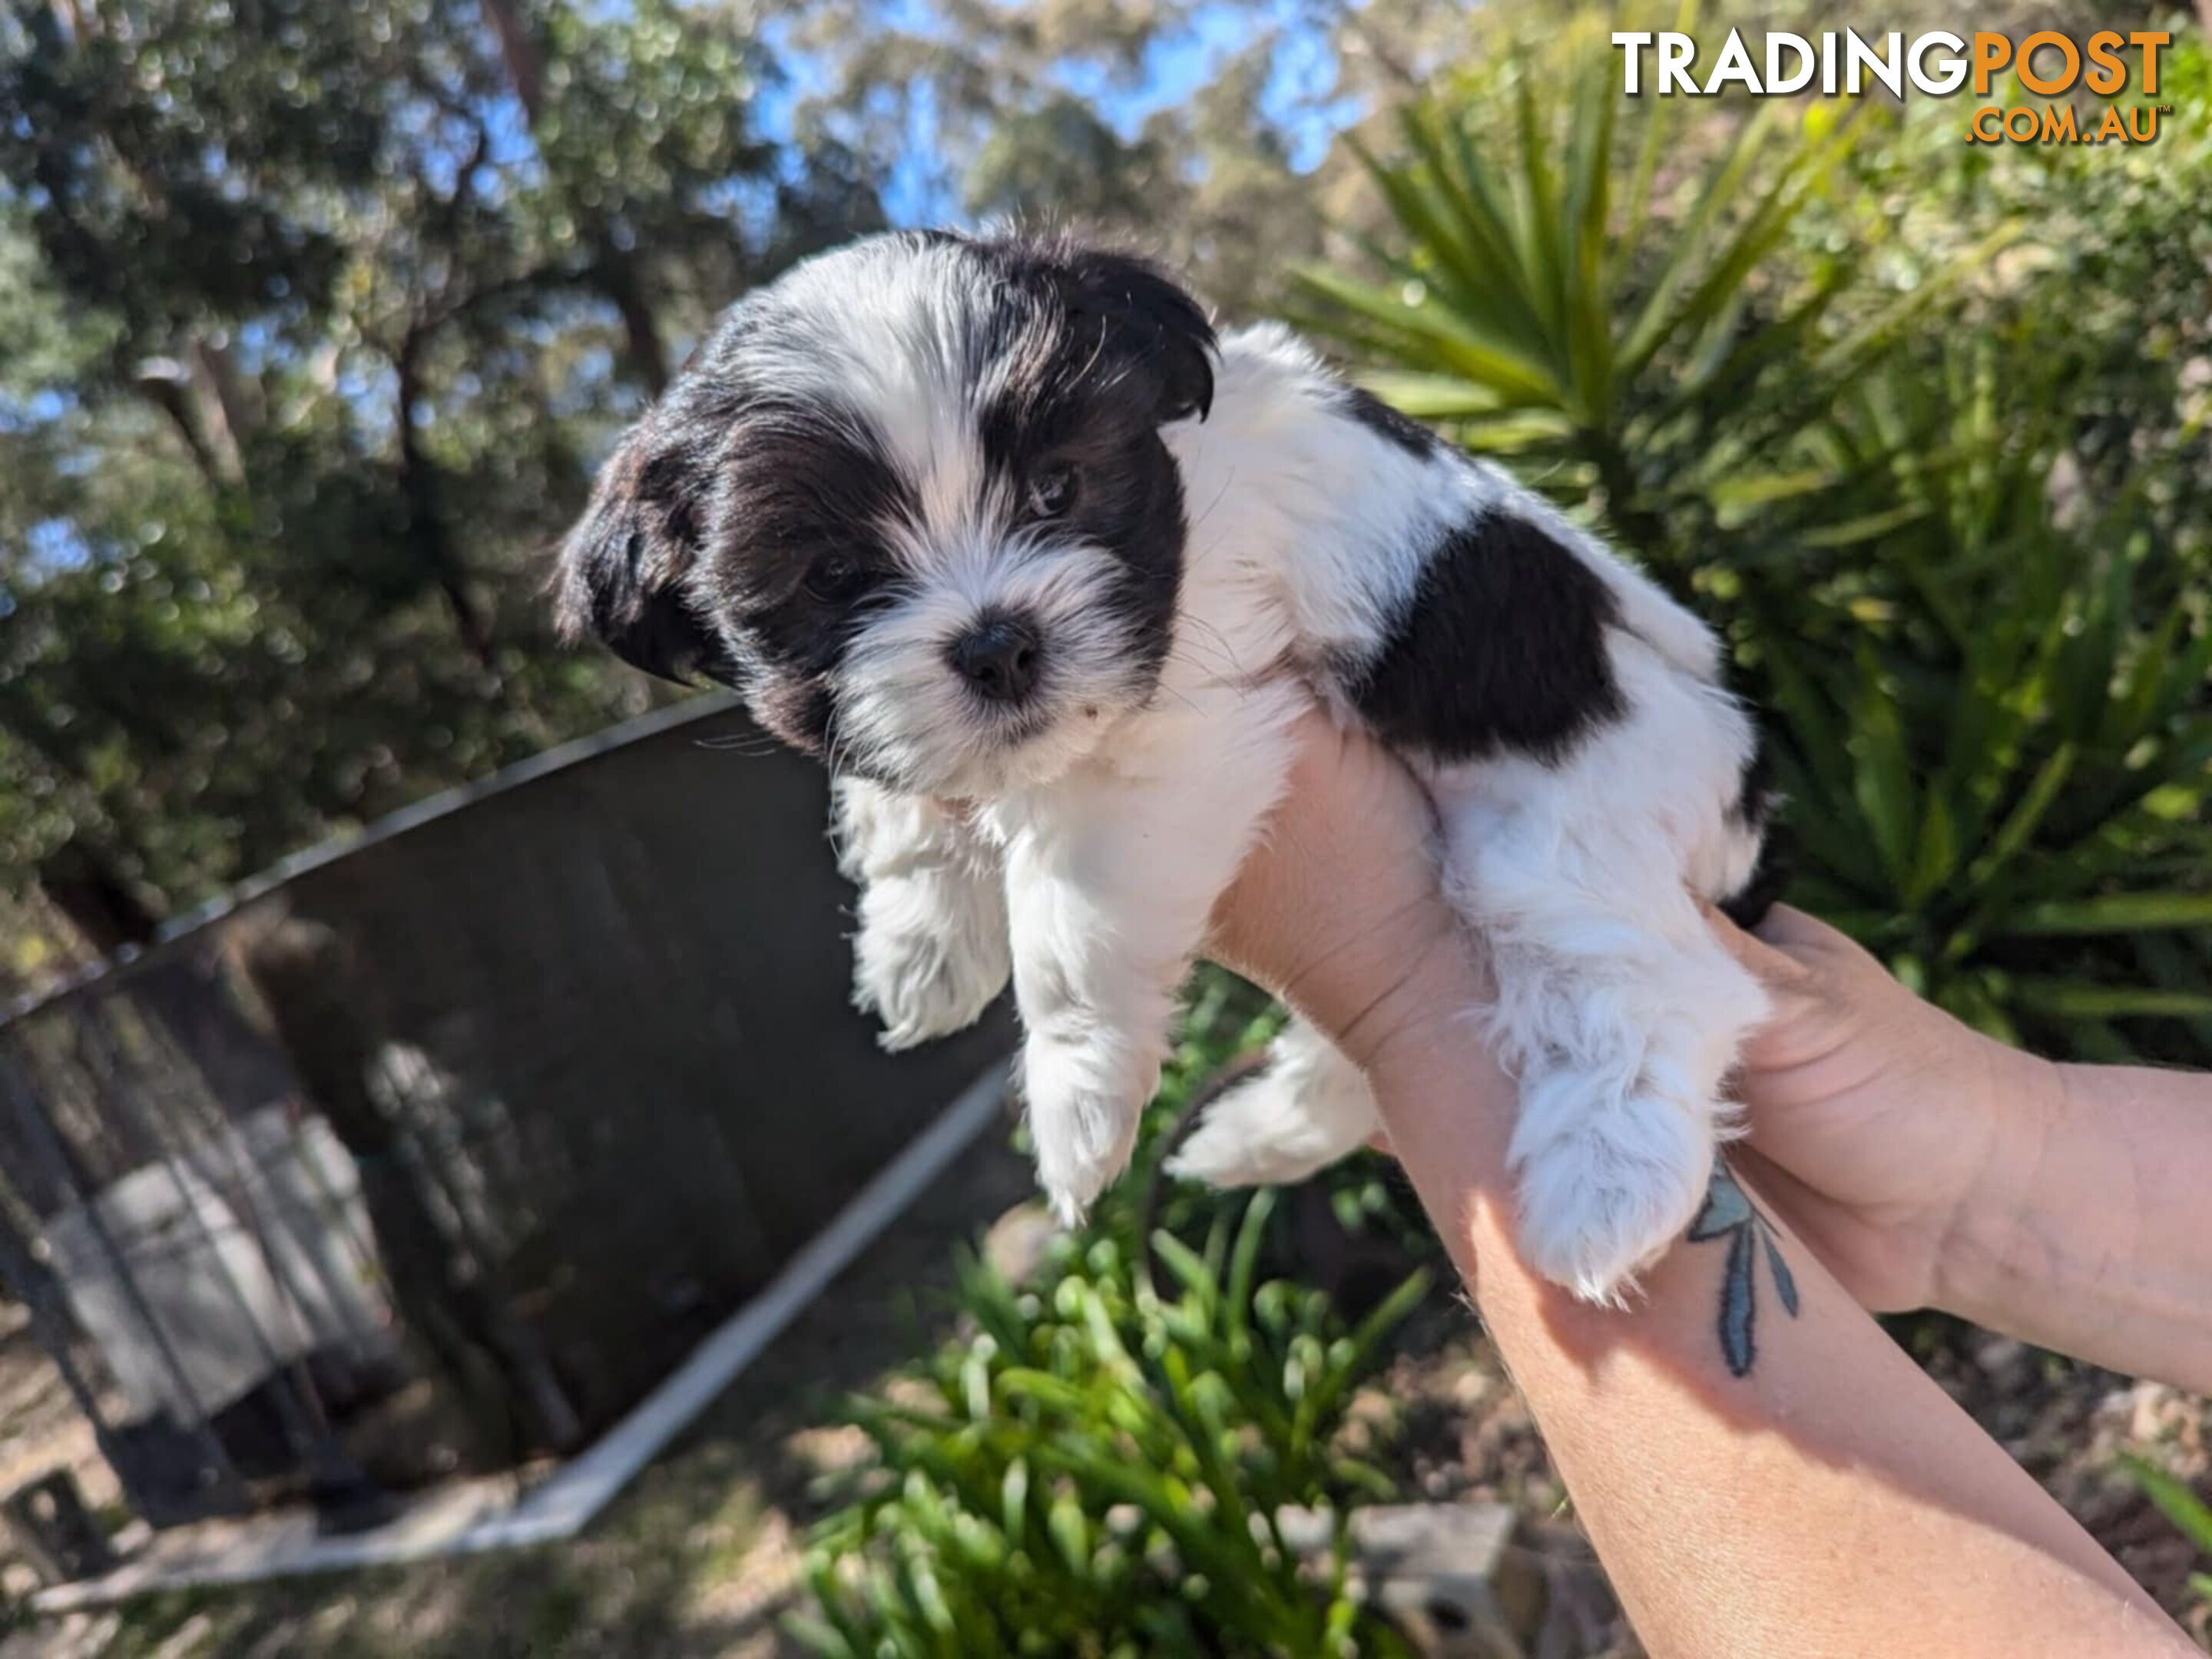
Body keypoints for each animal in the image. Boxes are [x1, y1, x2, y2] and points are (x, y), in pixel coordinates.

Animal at [553, 227, 1778, 1309]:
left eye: (1056, 491)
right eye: (838, 575)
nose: (997, 643)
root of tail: (1743, 773)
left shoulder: (1174, 725)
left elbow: (1072, 925)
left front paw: (1075, 1097)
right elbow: (895, 790)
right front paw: (921, 943)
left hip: (1571, 819)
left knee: (1653, 983)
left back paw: (1602, 1199)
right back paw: (1261, 1139)